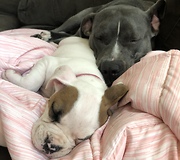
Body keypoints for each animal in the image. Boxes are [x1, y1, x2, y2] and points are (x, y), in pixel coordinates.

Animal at [33, 0, 165, 86]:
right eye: (99, 38)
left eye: (133, 39)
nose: (110, 68)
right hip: (78, 17)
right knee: (61, 30)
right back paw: (45, 34)